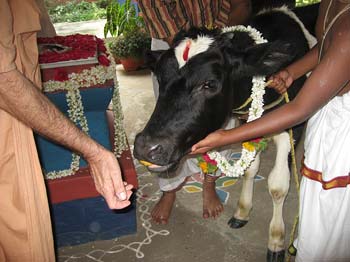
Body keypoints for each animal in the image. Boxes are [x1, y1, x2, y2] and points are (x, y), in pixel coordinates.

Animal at [133, 4, 318, 262]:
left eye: (209, 84)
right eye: (160, 79)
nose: (145, 147)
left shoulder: (294, 124)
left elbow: (278, 185)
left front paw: (276, 241)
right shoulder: (249, 122)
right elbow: (250, 169)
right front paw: (242, 212)